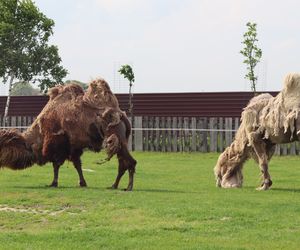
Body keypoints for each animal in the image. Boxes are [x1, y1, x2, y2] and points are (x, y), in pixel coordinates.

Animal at [0, 79, 137, 190]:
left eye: (3, 146)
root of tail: (121, 115)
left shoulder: (58, 143)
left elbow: (56, 165)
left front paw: (53, 183)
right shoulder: (74, 147)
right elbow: (77, 165)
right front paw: (82, 183)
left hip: (116, 139)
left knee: (129, 162)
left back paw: (127, 187)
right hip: (120, 142)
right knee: (123, 163)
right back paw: (114, 185)